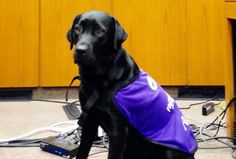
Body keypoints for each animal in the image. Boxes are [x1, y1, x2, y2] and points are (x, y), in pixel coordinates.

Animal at [67, 10, 197, 158]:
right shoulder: (89, 122)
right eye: (77, 29)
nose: (80, 50)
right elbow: (82, 152)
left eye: (100, 31)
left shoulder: (118, 132)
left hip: (170, 150)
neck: (98, 80)